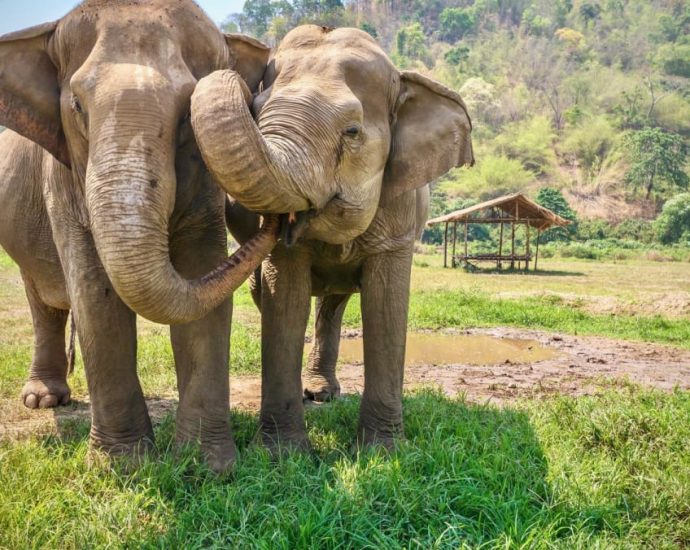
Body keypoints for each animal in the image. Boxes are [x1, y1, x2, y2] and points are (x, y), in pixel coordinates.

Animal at [1, 1, 280, 474]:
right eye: (77, 105)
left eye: (187, 113)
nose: (281, 219)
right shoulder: (63, 179)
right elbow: (95, 297)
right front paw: (122, 468)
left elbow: (202, 279)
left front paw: (207, 467)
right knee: (44, 300)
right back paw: (43, 401)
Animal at [189, 24, 472, 452]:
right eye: (256, 111)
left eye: (352, 131)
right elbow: (285, 300)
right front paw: (282, 454)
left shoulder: (401, 213)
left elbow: (387, 306)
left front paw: (383, 451)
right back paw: (314, 393)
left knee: (333, 304)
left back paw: (323, 393)